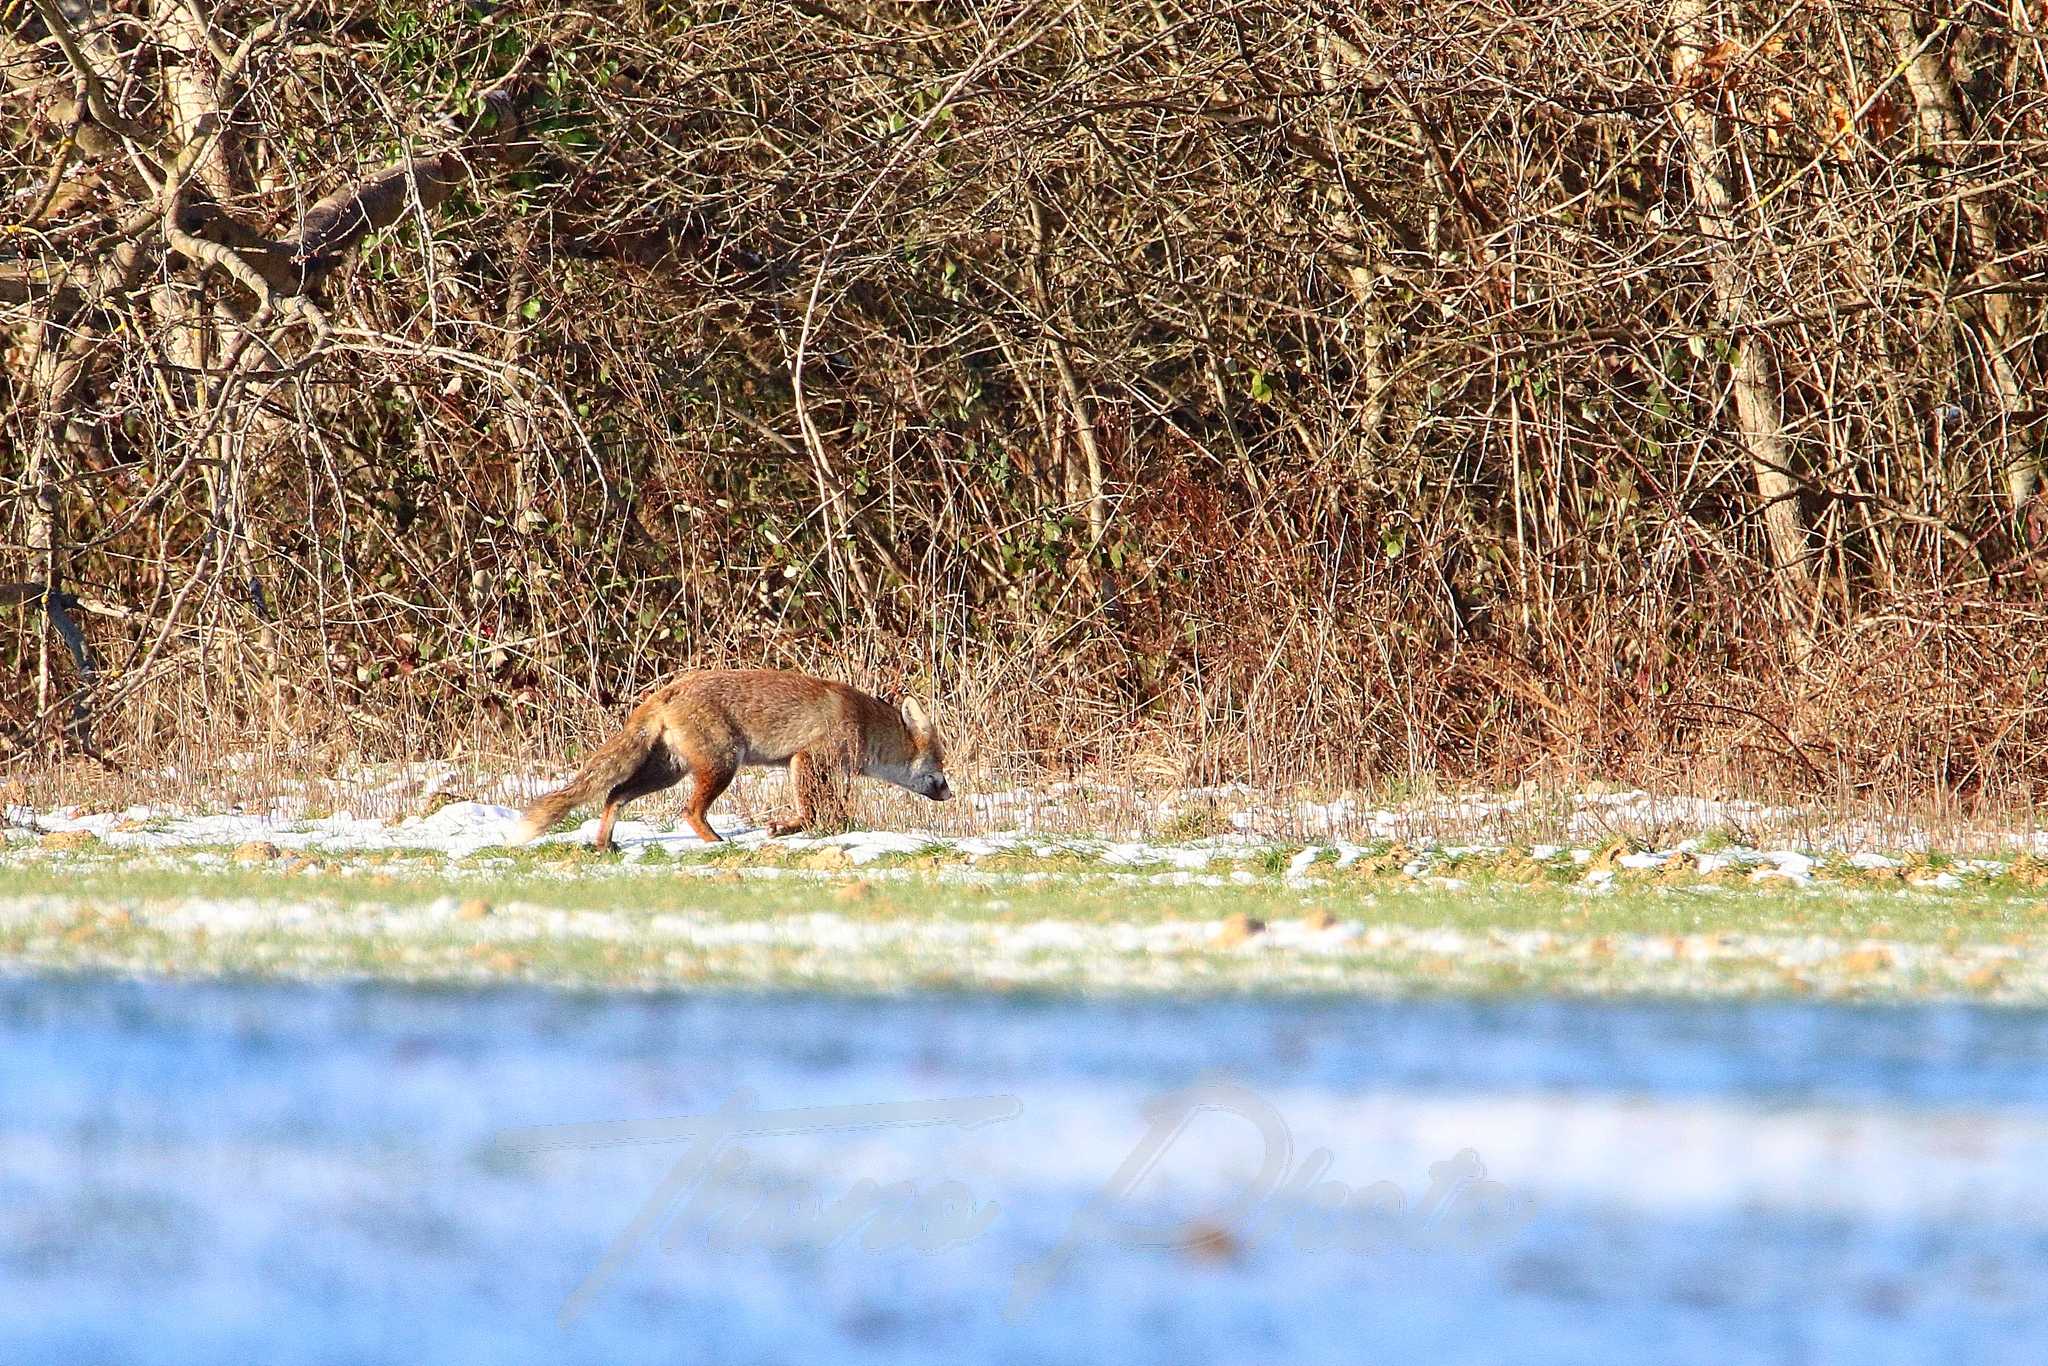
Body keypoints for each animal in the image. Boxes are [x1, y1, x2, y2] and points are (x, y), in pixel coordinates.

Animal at [512, 671, 958, 847]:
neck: (864, 724)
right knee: (688, 811)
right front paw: (786, 828)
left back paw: (605, 844)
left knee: (614, 794)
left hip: (667, 773)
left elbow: (831, 815)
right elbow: (817, 814)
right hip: (722, 766)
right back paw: (716, 845)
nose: (951, 794)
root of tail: (666, 691)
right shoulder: (806, 761)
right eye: (940, 764)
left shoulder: (818, 769)